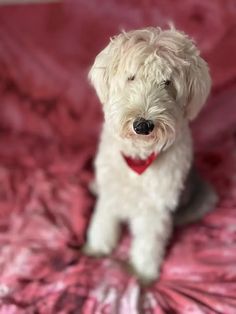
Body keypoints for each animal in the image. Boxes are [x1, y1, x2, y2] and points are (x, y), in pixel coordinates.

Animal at [85, 26, 218, 282]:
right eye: (131, 77)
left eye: (167, 83)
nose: (143, 125)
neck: (139, 158)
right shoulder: (110, 192)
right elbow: (103, 222)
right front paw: (96, 248)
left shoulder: (155, 209)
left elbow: (148, 244)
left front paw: (142, 273)